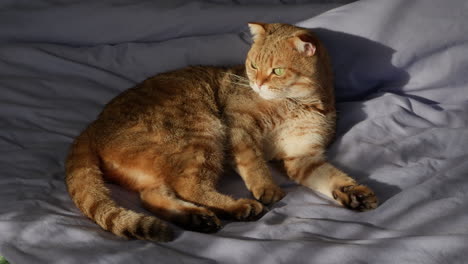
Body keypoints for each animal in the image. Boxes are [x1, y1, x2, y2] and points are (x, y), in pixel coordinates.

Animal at [66, 22, 378, 241]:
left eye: (277, 71)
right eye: (253, 65)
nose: (258, 83)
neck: (298, 105)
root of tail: (92, 126)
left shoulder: (302, 156)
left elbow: (332, 177)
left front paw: (355, 193)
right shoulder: (238, 126)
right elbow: (253, 162)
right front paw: (267, 188)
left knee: (153, 197)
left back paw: (197, 219)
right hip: (202, 133)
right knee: (189, 186)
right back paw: (239, 207)